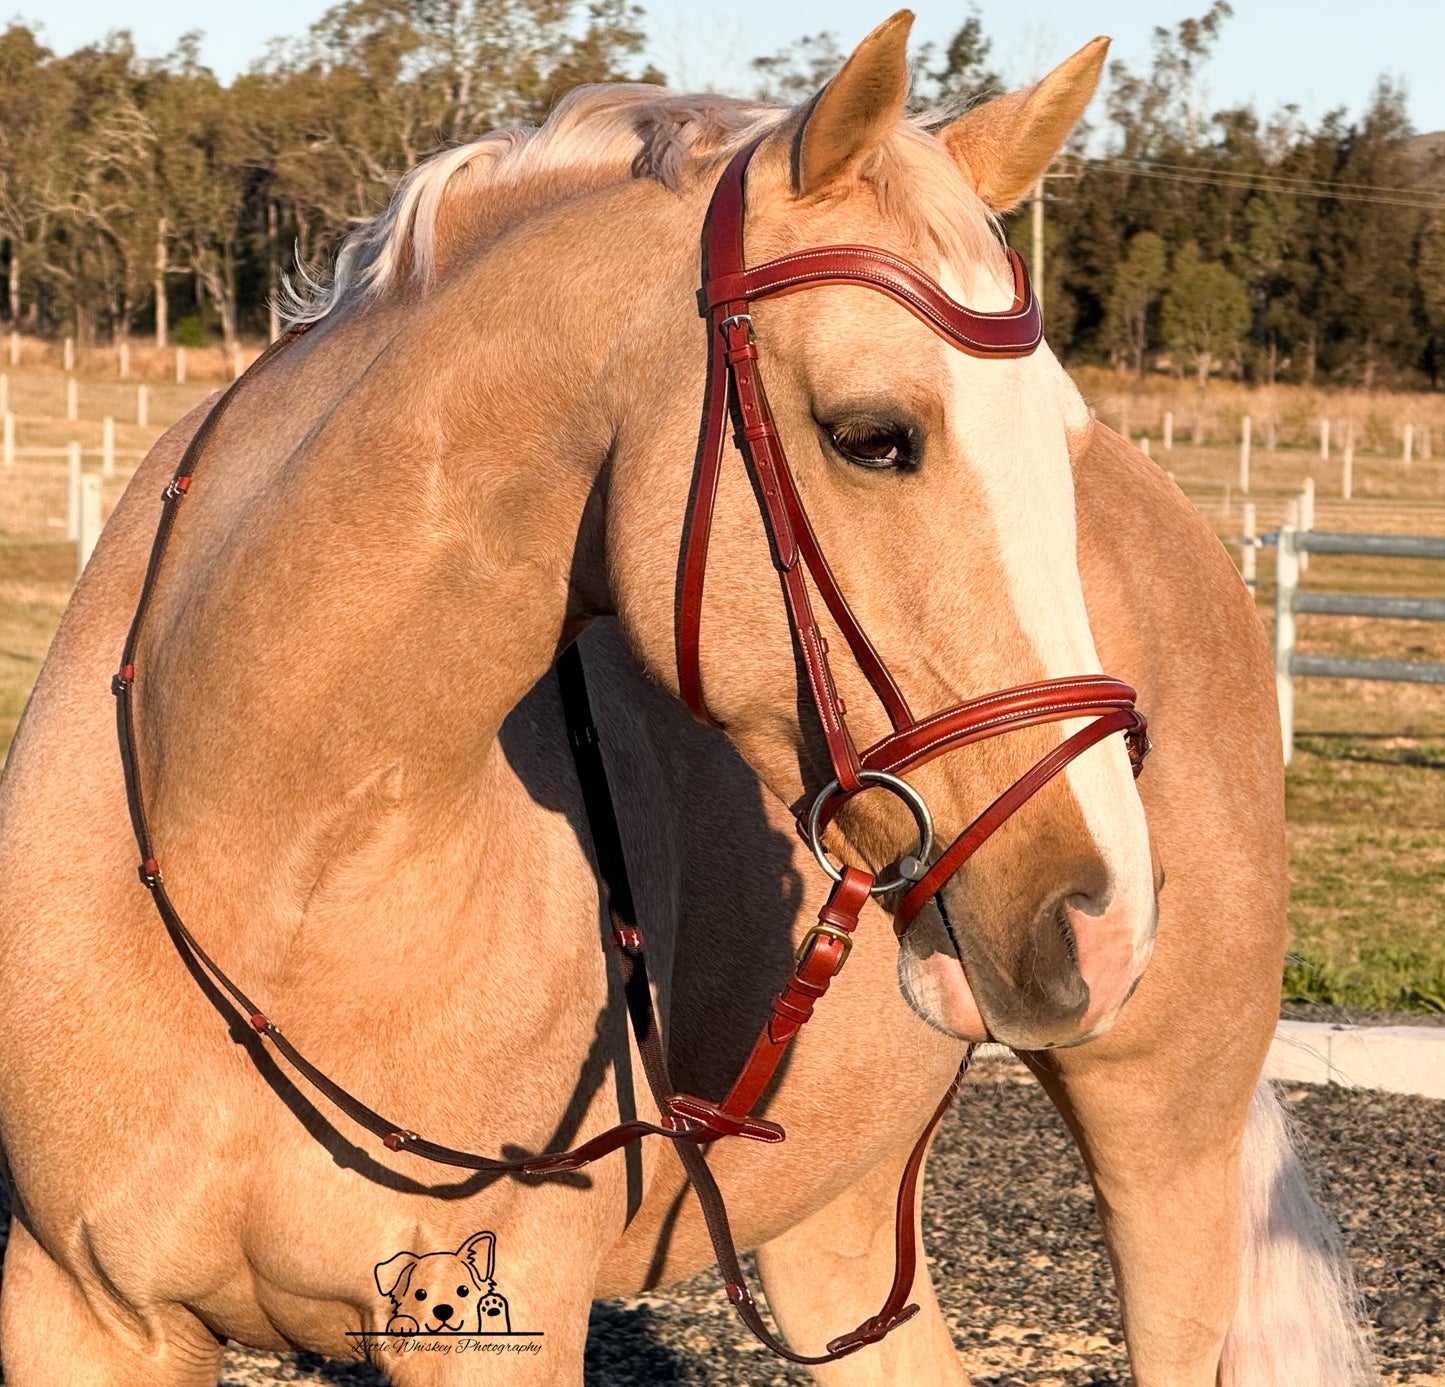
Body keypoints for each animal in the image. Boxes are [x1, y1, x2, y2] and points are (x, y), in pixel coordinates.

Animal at [0, 13, 1372, 1385]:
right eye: (872, 436)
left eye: (1061, 441)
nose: (1103, 920)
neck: (276, 850)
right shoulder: (78, 1307)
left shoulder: (502, 1327)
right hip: (834, 1209)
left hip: (1162, 1142)